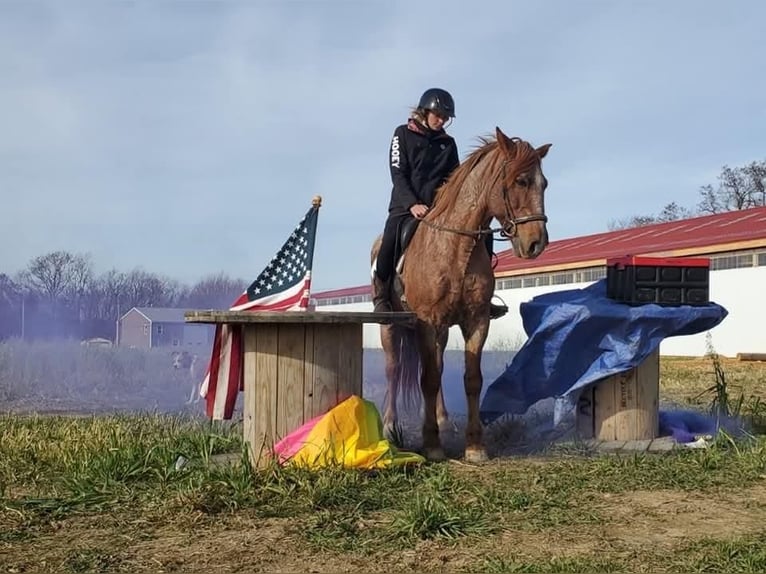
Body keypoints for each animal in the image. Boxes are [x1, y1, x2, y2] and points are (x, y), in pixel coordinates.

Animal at [370, 126, 552, 464]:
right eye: (520, 181)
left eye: (543, 183)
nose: (536, 243)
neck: (457, 247)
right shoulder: (427, 322)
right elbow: (427, 378)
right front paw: (431, 444)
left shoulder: (476, 321)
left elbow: (471, 379)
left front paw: (475, 445)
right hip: (391, 327)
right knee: (394, 368)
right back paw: (390, 425)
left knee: (438, 364)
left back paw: (443, 420)